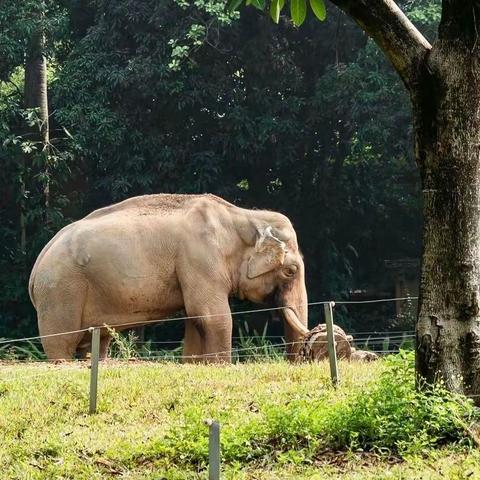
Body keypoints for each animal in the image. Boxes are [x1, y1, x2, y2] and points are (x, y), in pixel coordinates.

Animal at [29, 193, 308, 362]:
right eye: (290, 271)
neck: (244, 216)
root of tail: (36, 267)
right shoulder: (200, 258)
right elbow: (213, 316)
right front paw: (221, 366)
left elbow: (196, 319)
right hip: (60, 291)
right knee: (61, 343)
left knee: (95, 343)